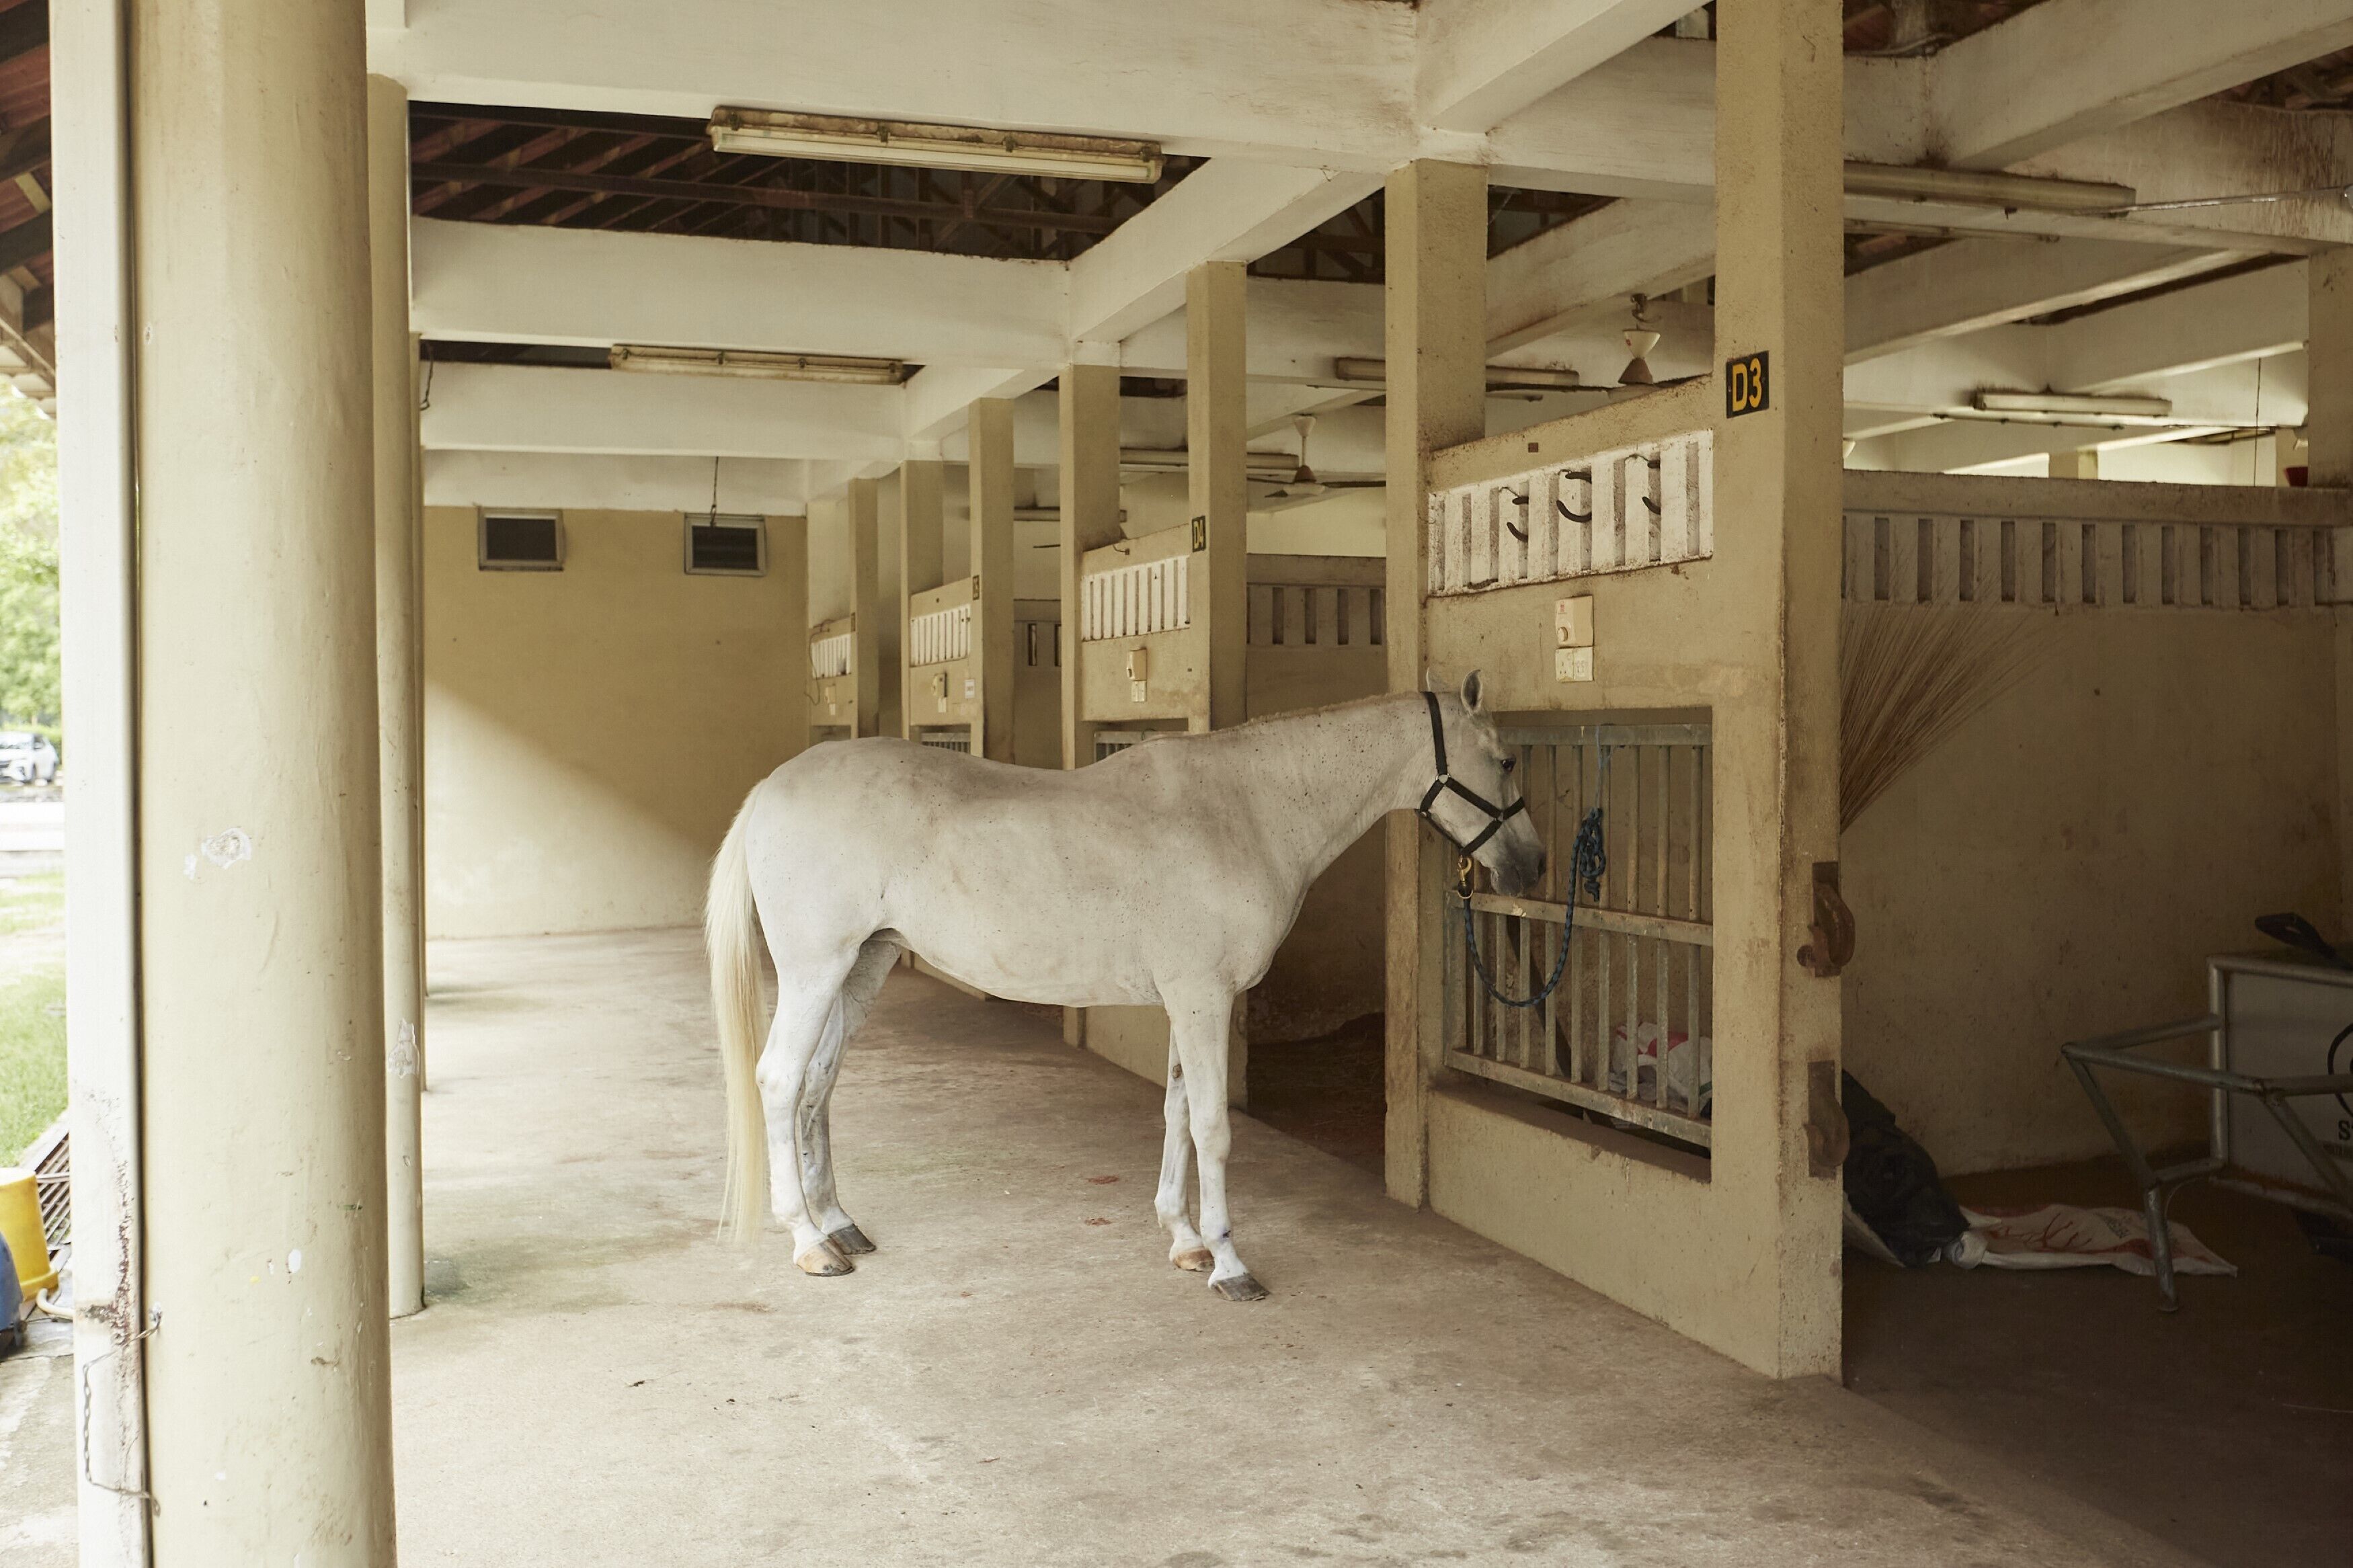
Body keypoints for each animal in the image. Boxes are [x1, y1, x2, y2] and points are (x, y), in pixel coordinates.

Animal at [705, 671, 1547, 1301]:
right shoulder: (1205, 998)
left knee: (817, 1083)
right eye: (1504, 759)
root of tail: (768, 791)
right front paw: (1228, 1264)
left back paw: (838, 1222)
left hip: (861, 967)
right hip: (815, 971)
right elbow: (1212, 1125)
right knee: (779, 1080)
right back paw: (809, 1243)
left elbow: (1175, 1111)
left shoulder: (1188, 999)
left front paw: (1182, 1239)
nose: (1532, 866)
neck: (1245, 808)